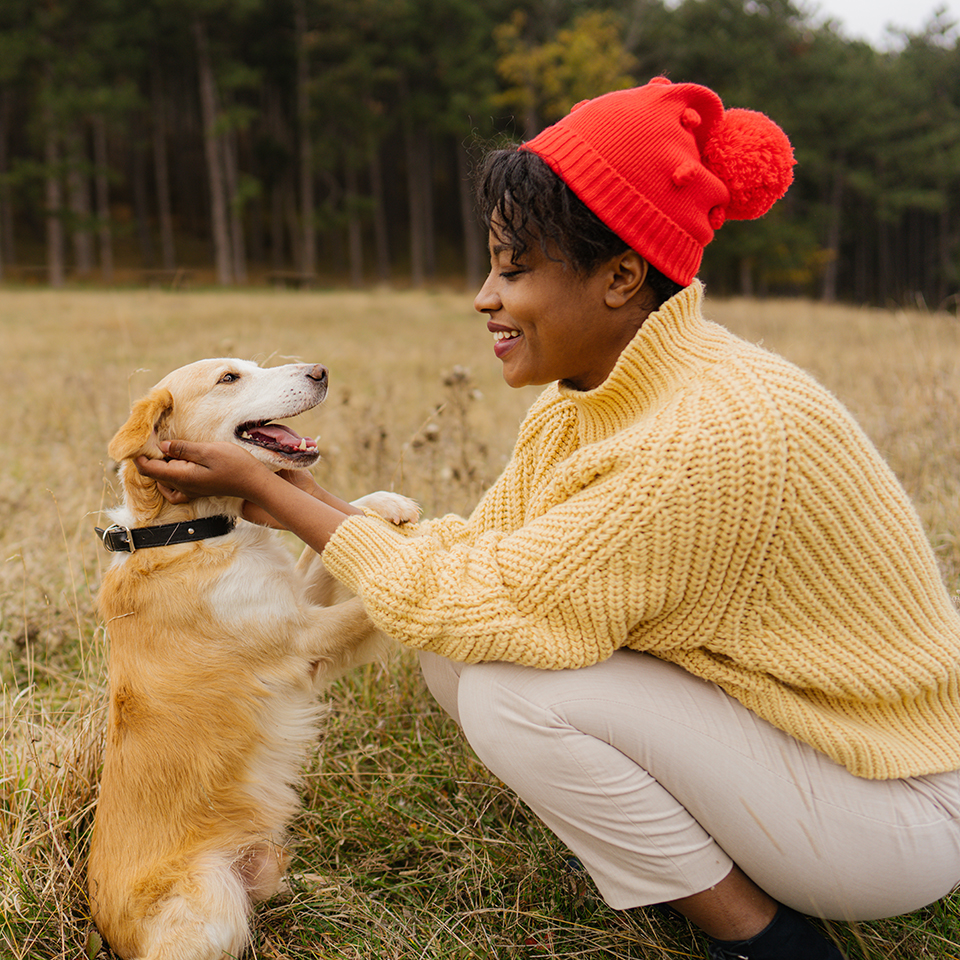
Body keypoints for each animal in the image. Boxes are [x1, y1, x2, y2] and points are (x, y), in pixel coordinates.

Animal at [89, 358, 416, 960]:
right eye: (229, 378)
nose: (320, 370)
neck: (183, 532)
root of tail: (106, 932)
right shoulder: (302, 640)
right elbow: (369, 597)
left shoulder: (301, 603)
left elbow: (334, 542)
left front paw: (386, 504)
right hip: (210, 896)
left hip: (260, 868)